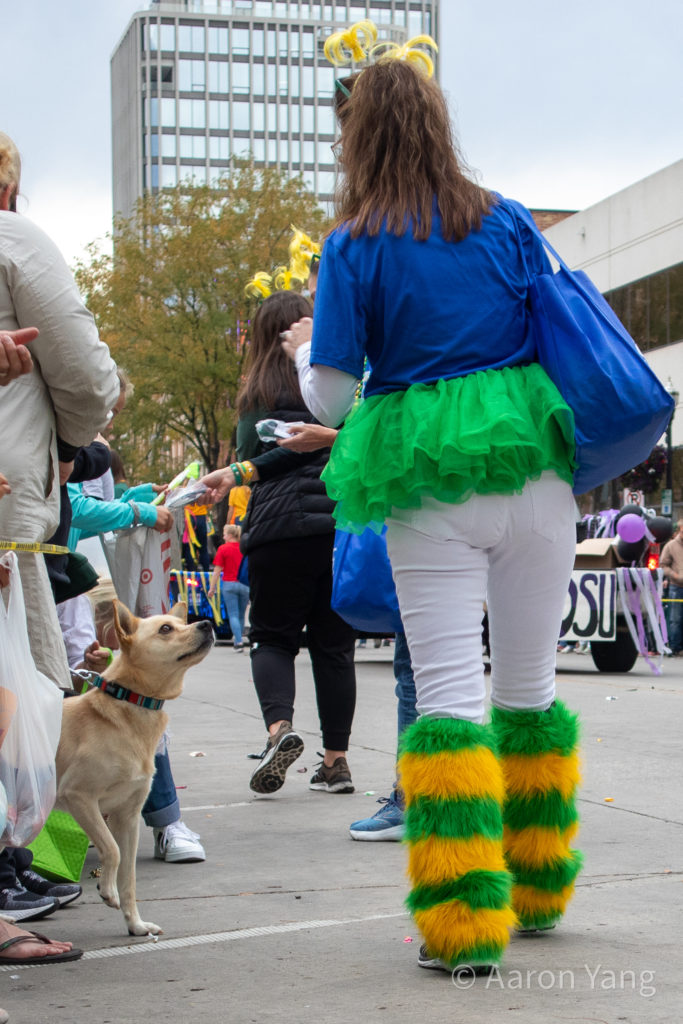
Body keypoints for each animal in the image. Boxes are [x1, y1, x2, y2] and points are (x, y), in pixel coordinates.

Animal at [55, 598, 211, 937]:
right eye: (165, 629)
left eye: (180, 623)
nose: (206, 623)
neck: (129, 703)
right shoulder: (79, 797)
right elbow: (111, 850)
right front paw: (106, 890)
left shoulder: (126, 817)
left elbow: (129, 877)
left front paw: (136, 925)